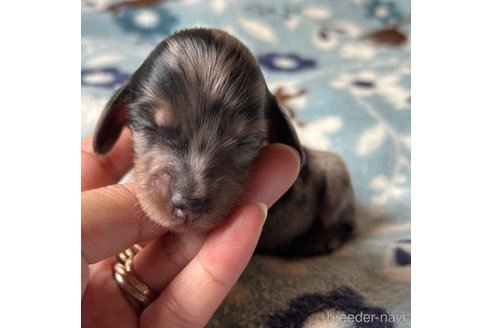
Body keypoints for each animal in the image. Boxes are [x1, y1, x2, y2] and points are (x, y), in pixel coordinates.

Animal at [92, 27, 354, 256]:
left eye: (245, 142)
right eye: (152, 128)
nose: (188, 205)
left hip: (336, 173)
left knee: (346, 224)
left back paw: (321, 239)